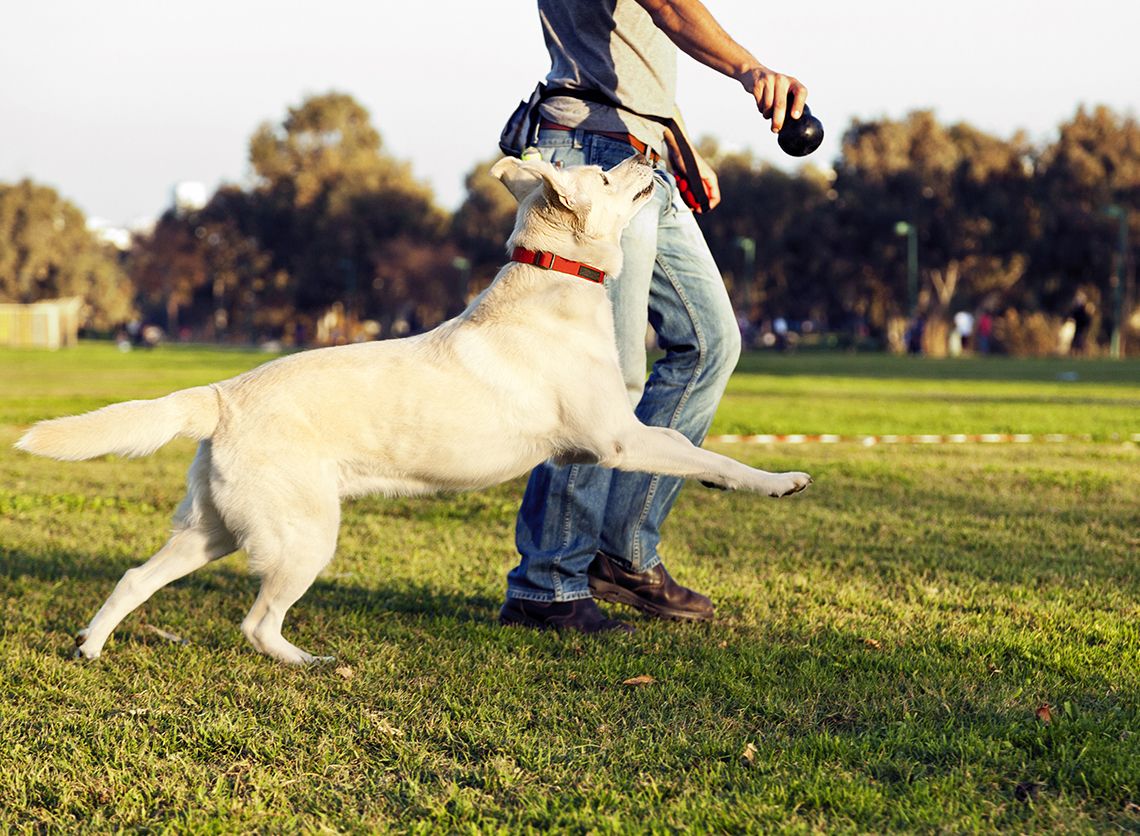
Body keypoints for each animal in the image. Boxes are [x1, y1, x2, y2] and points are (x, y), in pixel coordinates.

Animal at [13, 155, 807, 666]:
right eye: (608, 176)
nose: (650, 152)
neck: (554, 282)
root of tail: (222, 394)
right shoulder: (618, 439)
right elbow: (703, 452)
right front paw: (776, 482)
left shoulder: (607, 443)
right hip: (303, 537)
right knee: (255, 622)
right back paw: (309, 662)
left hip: (214, 530)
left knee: (134, 577)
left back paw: (91, 647)